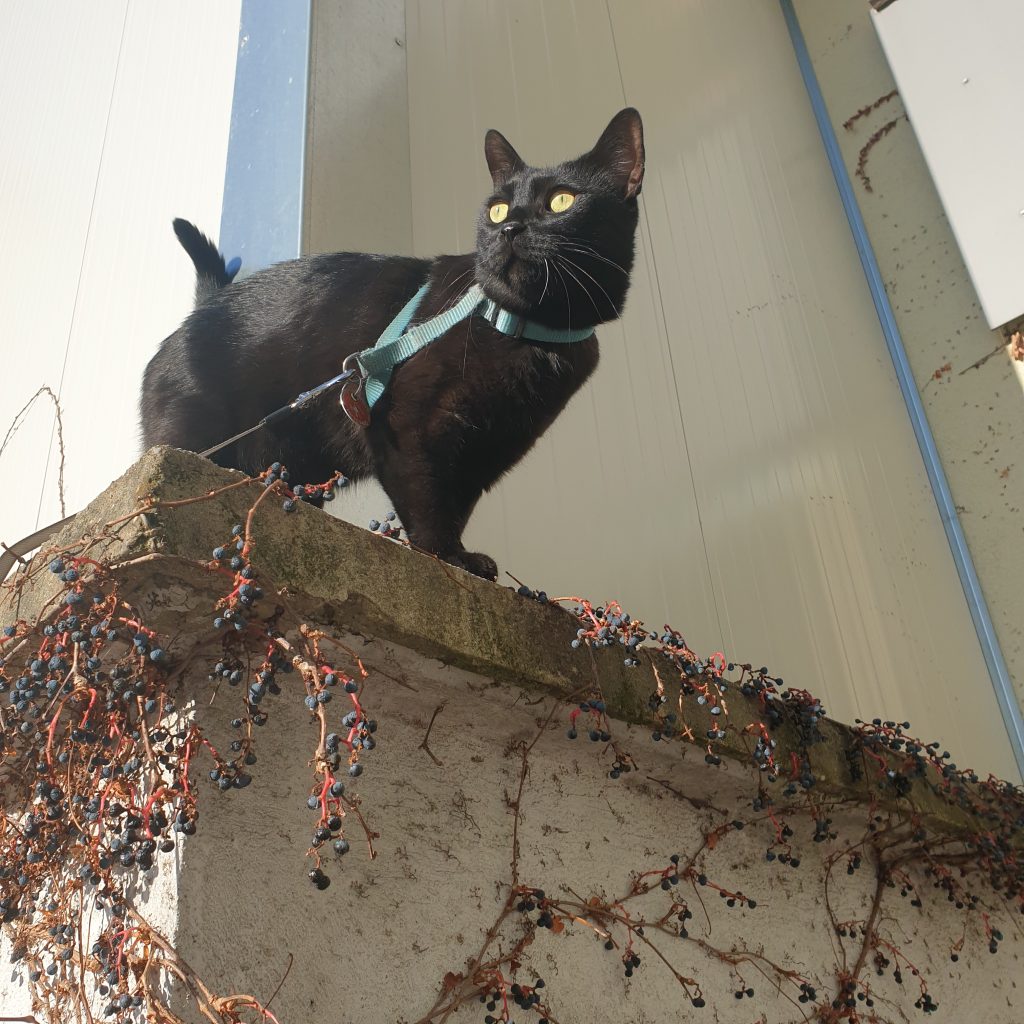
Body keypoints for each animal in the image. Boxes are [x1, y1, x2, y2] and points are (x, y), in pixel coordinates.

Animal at [140, 110, 643, 585]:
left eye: (561, 201)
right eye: (498, 210)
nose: (510, 229)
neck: (525, 329)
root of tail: (205, 304)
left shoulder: (492, 447)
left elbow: (458, 502)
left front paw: (462, 555)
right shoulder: (407, 421)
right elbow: (428, 497)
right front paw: (445, 555)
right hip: (197, 437)